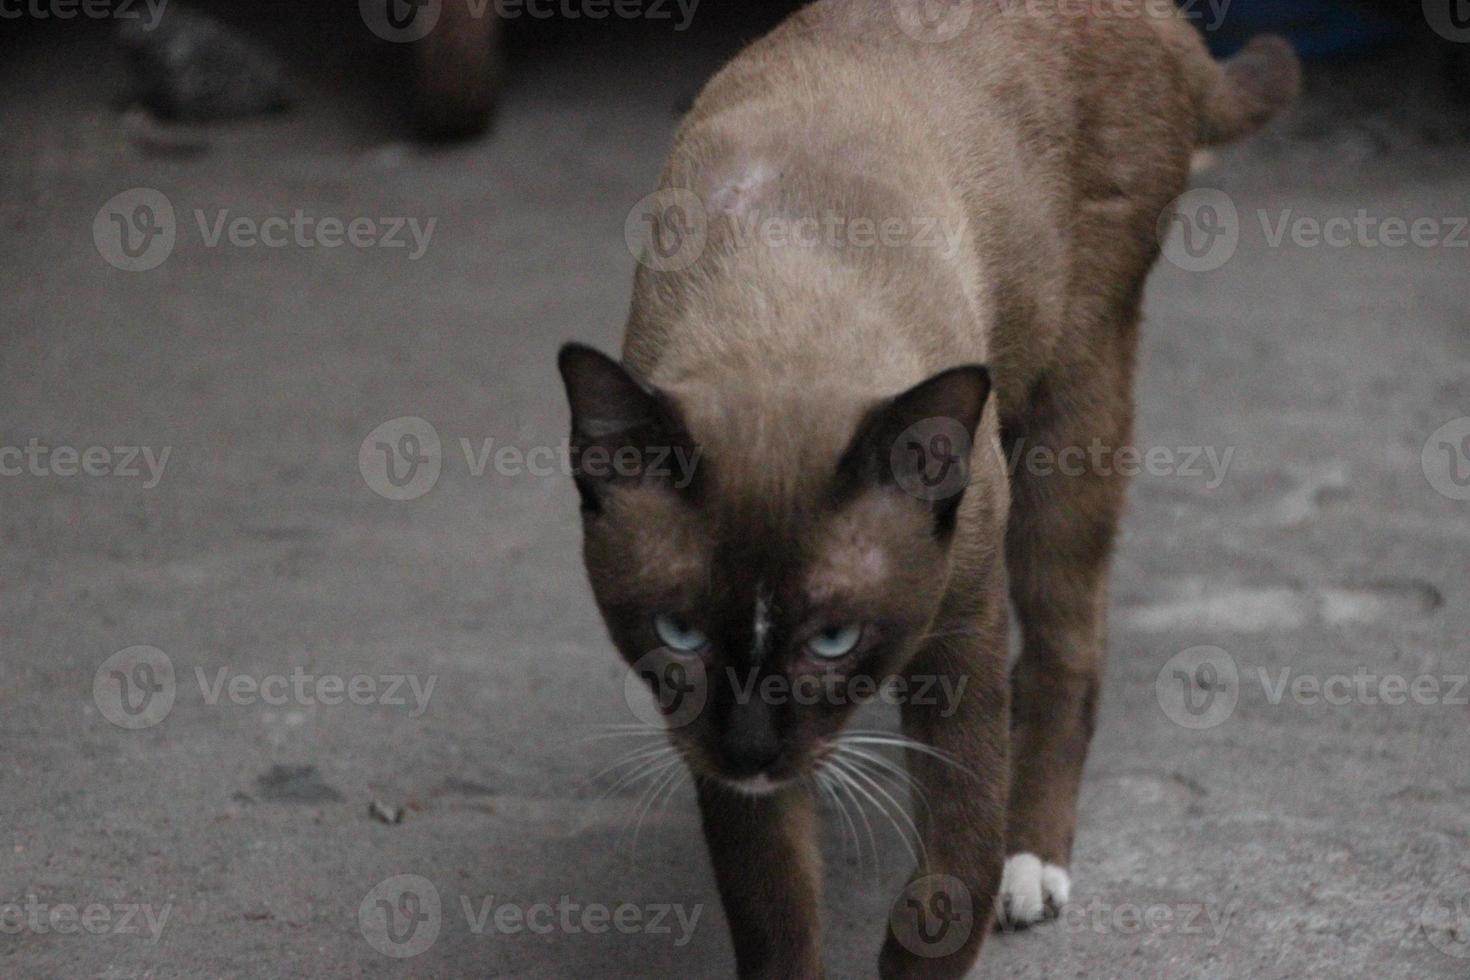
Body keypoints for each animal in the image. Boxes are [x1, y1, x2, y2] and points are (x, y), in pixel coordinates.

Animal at [552, 3, 1299, 975]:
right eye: (677, 633)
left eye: (833, 640)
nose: (752, 748)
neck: (784, 304)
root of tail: (1168, 21)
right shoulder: (714, 745)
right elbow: (775, 911)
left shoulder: (958, 632)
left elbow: (956, 870)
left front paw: (965, 900)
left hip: (1073, 405)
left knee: (1069, 648)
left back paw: (1034, 863)